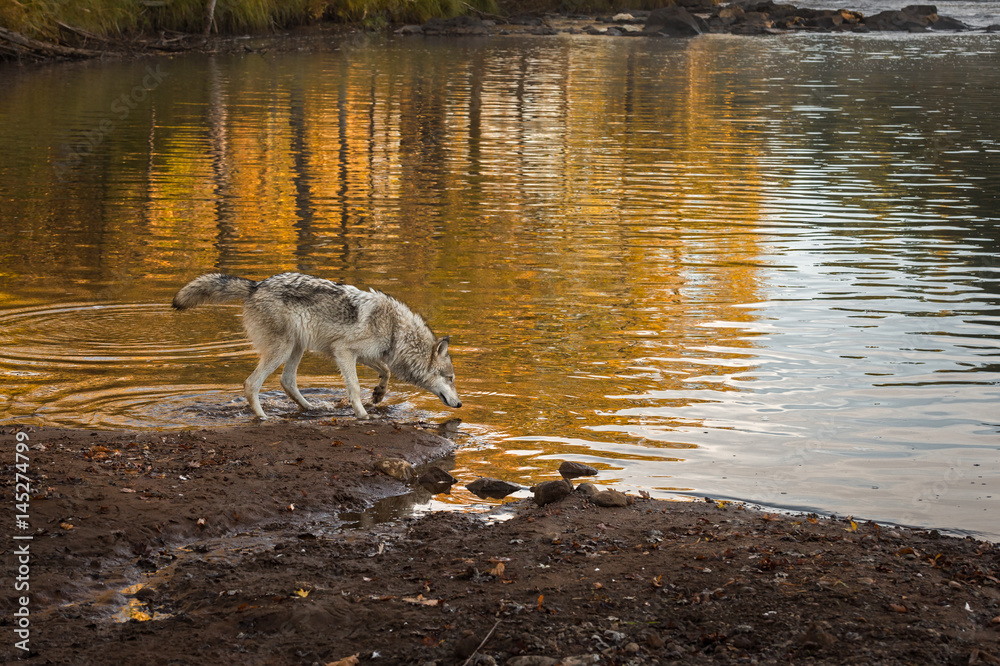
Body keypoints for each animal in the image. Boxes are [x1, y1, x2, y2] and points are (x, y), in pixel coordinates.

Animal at [172, 272, 461, 420]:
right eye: (450, 378)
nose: (460, 404)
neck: (396, 330)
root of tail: (255, 286)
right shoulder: (343, 351)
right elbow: (355, 387)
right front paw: (362, 413)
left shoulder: (364, 354)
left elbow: (386, 371)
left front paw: (379, 394)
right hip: (282, 350)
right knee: (251, 384)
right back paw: (263, 417)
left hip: (297, 348)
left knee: (287, 381)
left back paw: (310, 408)